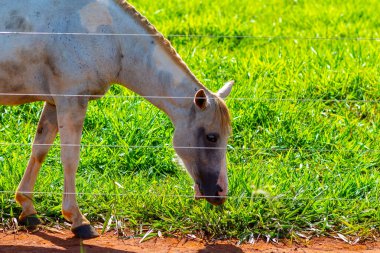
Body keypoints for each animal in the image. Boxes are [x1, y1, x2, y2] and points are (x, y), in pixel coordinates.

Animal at [0, 0, 233, 238]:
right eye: (212, 137)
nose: (221, 193)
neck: (111, 36)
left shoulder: (55, 102)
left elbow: (40, 150)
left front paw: (27, 207)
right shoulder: (72, 100)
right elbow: (70, 159)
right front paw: (77, 219)